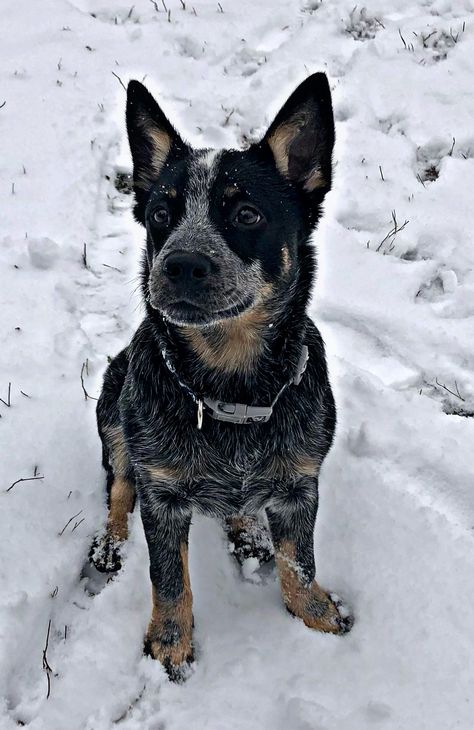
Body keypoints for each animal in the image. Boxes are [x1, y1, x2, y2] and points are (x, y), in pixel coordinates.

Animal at [90, 72, 354, 676]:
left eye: (247, 214)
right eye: (161, 215)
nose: (181, 263)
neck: (230, 389)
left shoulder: (301, 483)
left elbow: (299, 562)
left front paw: (318, 618)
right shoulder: (162, 496)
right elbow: (168, 579)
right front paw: (169, 643)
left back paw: (249, 530)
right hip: (113, 401)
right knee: (119, 481)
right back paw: (112, 542)